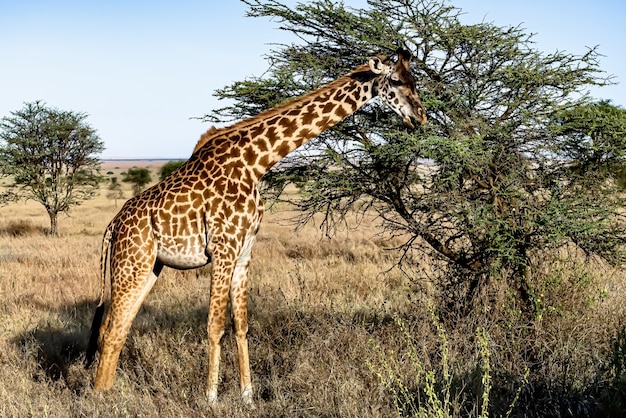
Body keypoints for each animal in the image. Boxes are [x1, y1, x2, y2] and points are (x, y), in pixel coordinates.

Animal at [86, 49, 424, 404]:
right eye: (396, 81)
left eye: (415, 80)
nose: (421, 117)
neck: (255, 163)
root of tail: (113, 226)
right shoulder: (223, 249)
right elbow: (215, 325)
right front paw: (211, 398)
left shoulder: (244, 252)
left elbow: (242, 325)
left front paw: (247, 396)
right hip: (133, 262)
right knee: (112, 329)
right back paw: (101, 398)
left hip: (150, 267)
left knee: (118, 326)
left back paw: (109, 394)